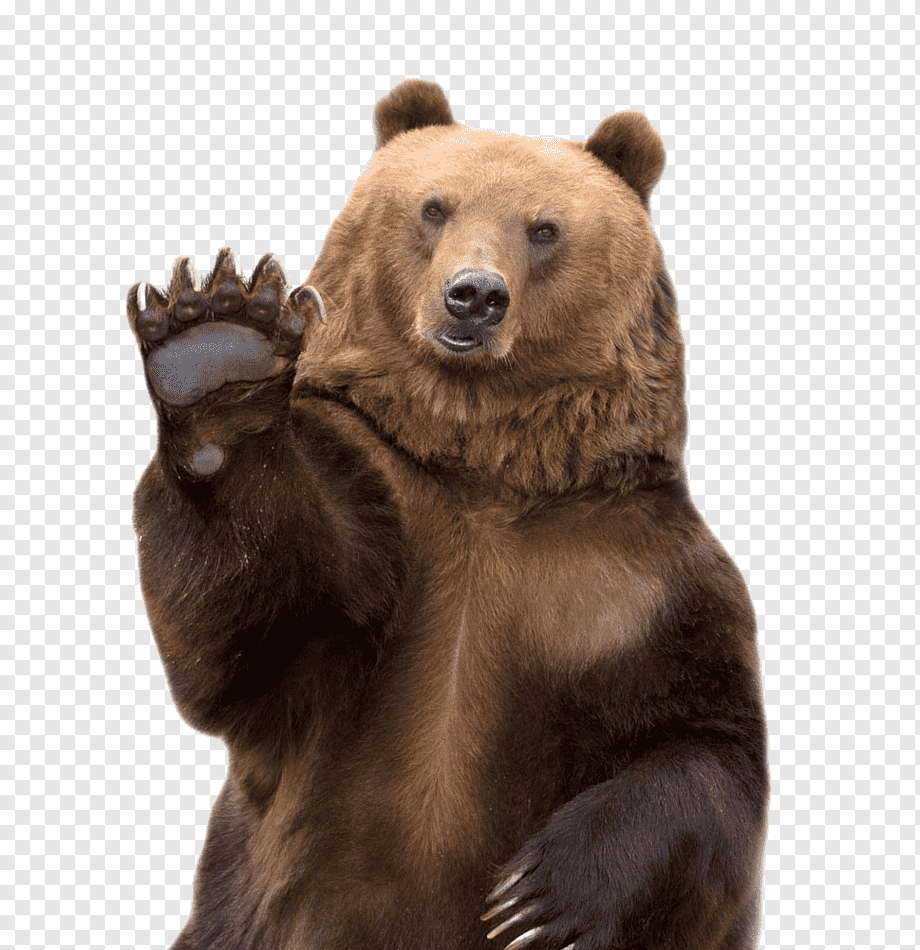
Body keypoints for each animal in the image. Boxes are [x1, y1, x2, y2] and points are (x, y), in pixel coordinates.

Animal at [127, 79, 768, 950]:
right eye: (434, 207)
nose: (475, 297)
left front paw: (537, 900)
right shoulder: (372, 509)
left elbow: (705, 746)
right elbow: (248, 636)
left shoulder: (639, 579)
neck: (483, 466)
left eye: (544, 228)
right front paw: (217, 350)